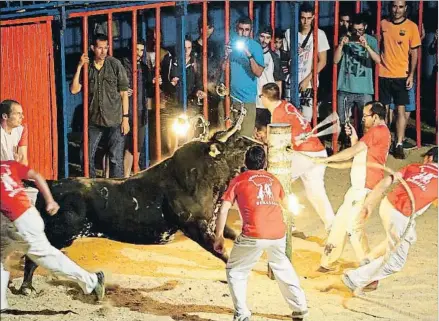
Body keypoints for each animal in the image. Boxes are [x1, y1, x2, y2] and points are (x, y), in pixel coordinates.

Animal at [0, 131, 262, 292]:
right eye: (239, 142)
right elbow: (222, 252)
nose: (261, 147)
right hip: (58, 234)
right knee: (33, 258)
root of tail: (52, 183)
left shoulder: (212, 223)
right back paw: (27, 288)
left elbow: (231, 237)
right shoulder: (196, 226)